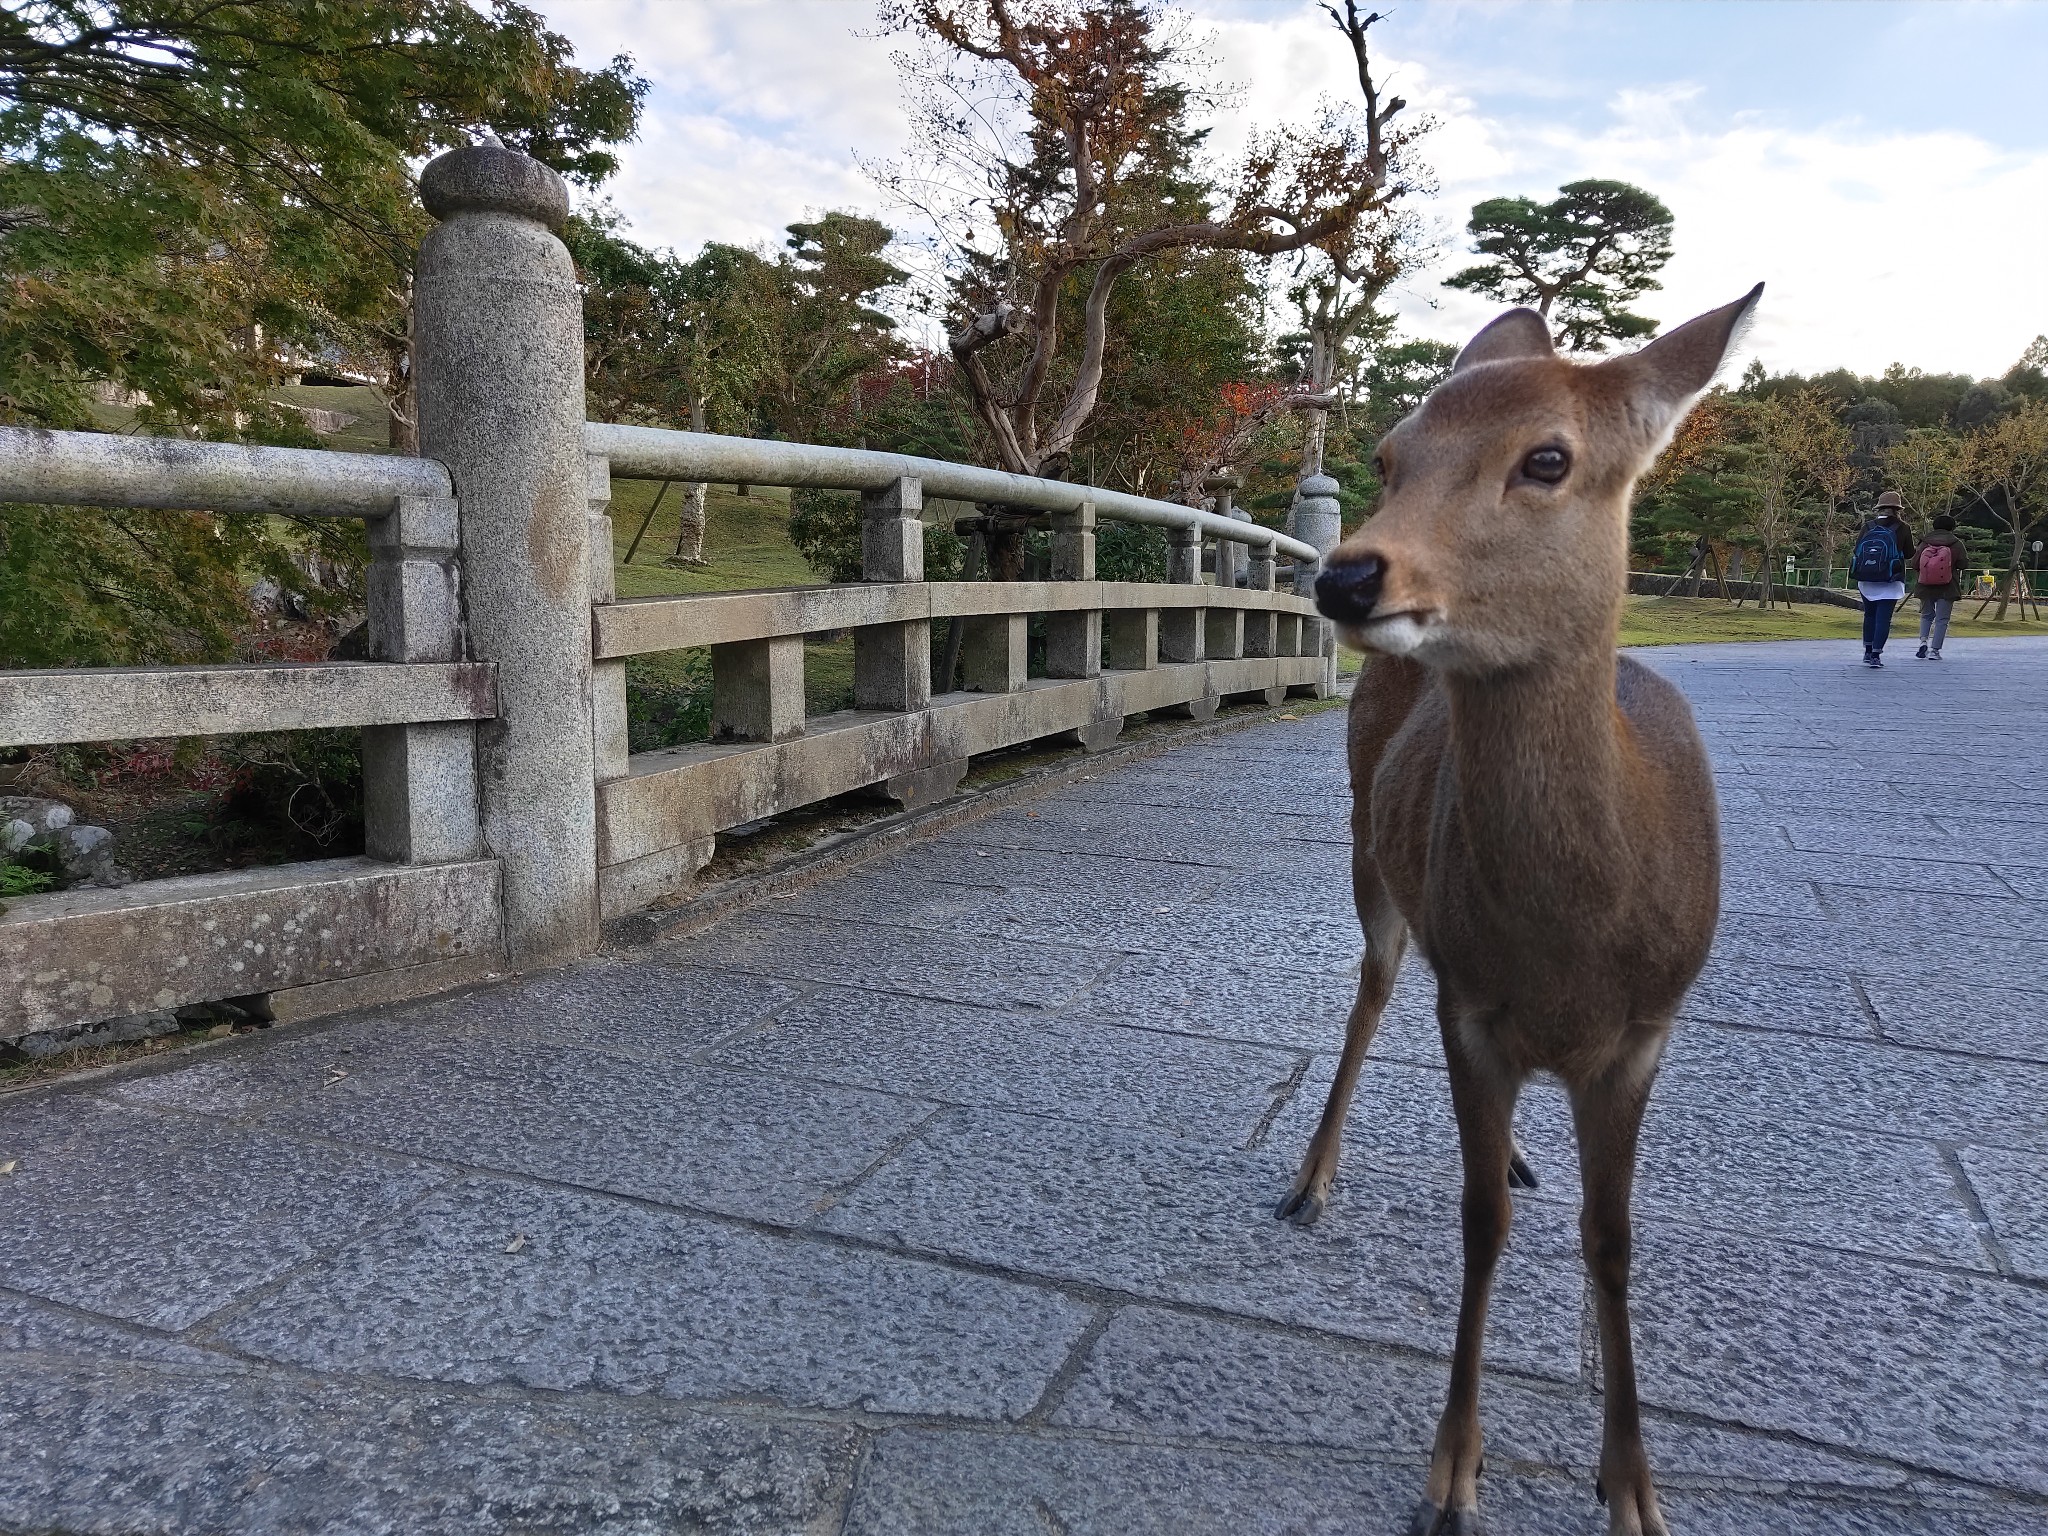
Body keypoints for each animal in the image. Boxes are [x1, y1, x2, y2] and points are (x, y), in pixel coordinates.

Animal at [1277, 282, 1761, 1531]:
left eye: (1547, 458)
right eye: (1388, 455)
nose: (1347, 576)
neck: (1572, 949)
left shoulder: (1644, 1031)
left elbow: (1612, 1237)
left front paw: (1630, 1484)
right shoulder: (1471, 1007)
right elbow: (1477, 1225)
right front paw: (1451, 1473)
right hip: (1371, 855)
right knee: (1367, 993)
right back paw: (1310, 1179)